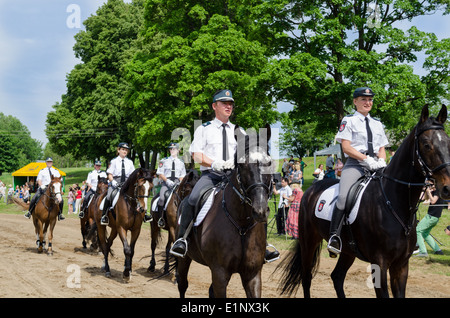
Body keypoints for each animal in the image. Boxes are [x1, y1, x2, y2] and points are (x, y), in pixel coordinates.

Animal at [176, 125, 274, 298]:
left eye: (268, 162)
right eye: (242, 165)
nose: (260, 210)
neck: (242, 225)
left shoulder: (253, 274)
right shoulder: (219, 273)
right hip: (184, 258)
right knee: (182, 284)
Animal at [280, 105, 448, 298]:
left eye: (448, 143)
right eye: (427, 145)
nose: (447, 188)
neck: (394, 203)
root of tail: (311, 190)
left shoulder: (401, 265)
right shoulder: (379, 263)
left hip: (347, 250)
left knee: (337, 276)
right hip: (309, 241)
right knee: (306, 277)